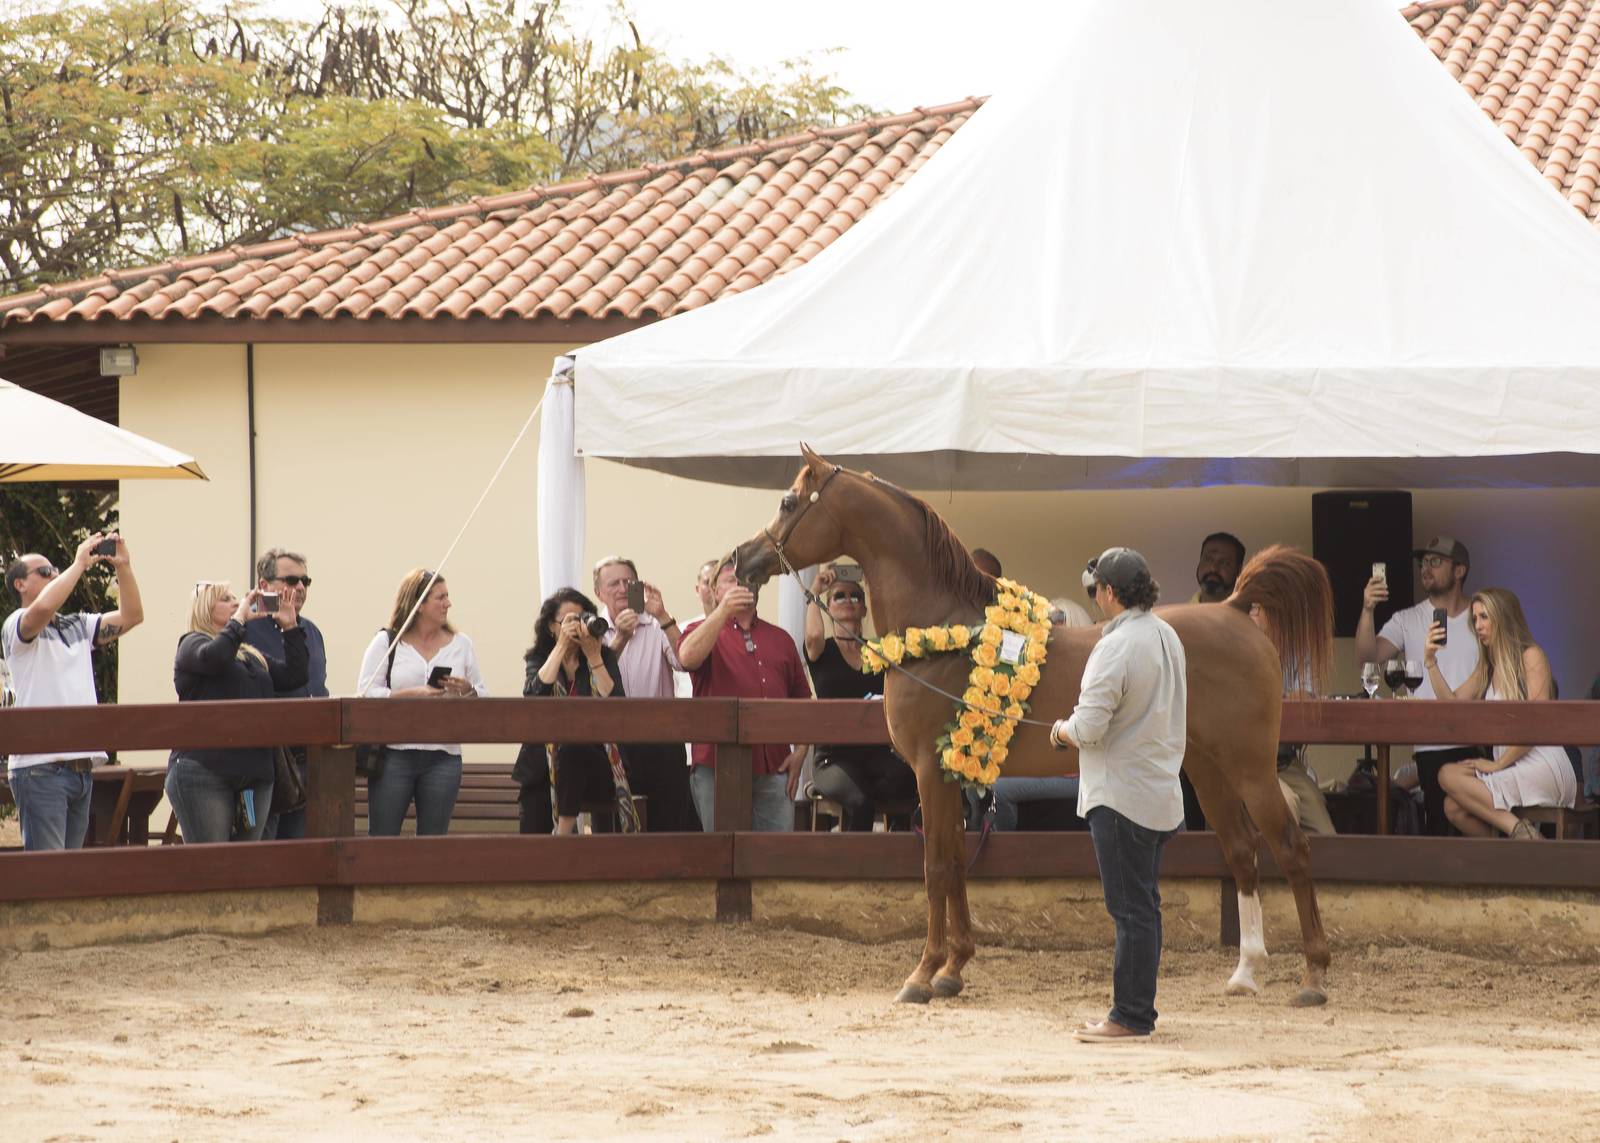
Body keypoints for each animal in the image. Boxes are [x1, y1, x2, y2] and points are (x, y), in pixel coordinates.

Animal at [730, 445, 1333, 1007]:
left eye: (788, 502)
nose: (741, 560)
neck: (945, 629)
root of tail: (1234, 609)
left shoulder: (929, 770)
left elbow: (934, 867)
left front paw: (922, 975)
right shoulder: (952, 774)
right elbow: (955, 860)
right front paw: (954, 969)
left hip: (1250, 766)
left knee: (1291, 848)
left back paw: (1313, 977)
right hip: (1207, 769)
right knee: (1241, 850)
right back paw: (1245, 973)